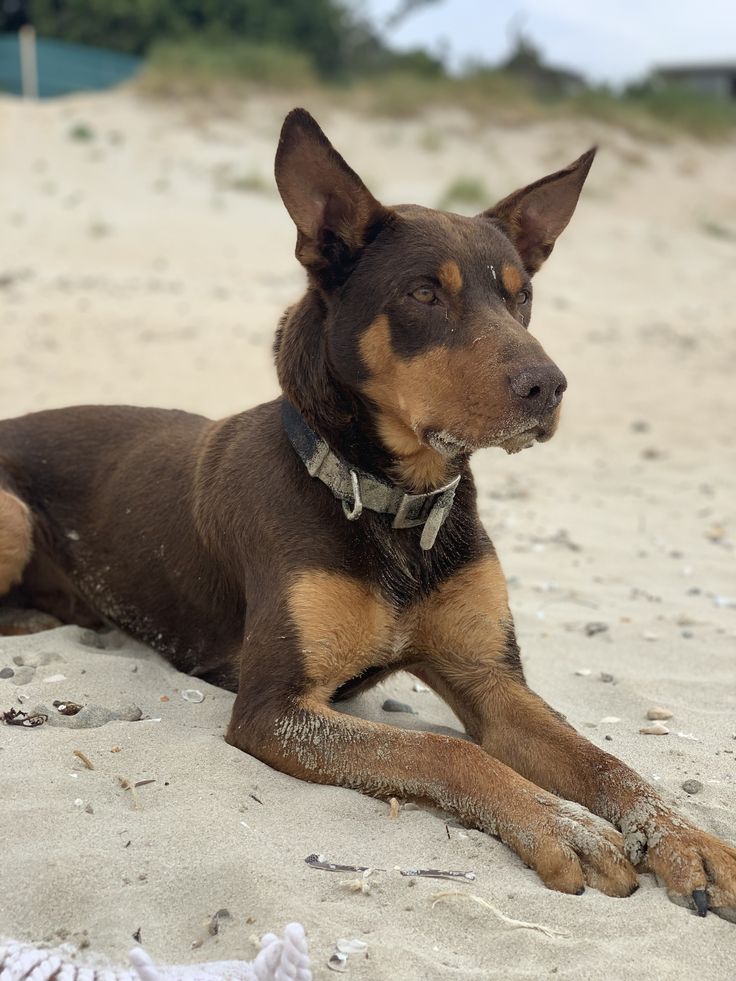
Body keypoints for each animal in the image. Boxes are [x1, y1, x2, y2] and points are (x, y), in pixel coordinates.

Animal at [1, 109, 736, 920]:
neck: (393, 503)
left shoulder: (491, 681)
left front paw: (685, 837)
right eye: (424, 294)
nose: (549, 385)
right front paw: (560, 824)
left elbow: (607, 763)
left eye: (521, 297)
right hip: (11, 512)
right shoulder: (274, 707)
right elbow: (445, 747)